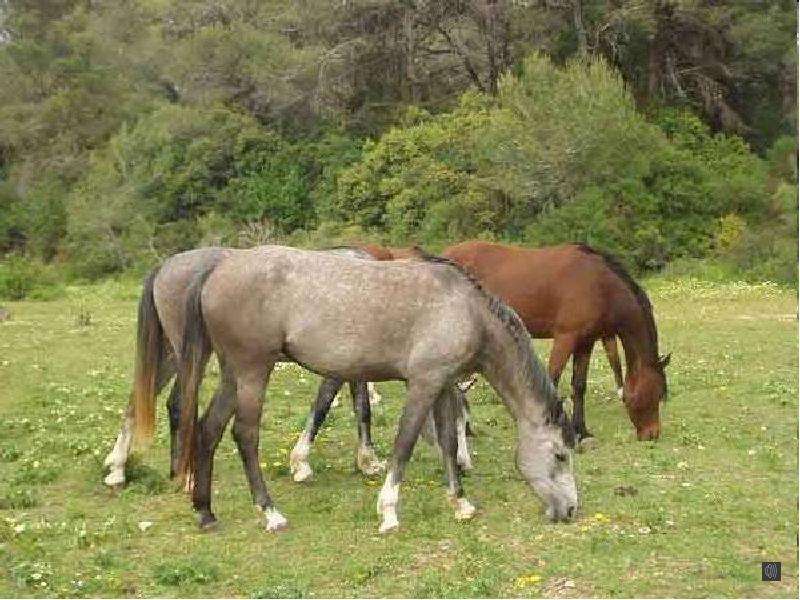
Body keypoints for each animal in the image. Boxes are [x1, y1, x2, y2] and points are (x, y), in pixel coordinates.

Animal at [153, 246, 576, 532]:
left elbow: (447, 443)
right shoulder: (422, 385)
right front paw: (388, 512)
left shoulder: (440, 385)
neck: (467, 310)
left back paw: (206, 512)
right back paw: (270, 512)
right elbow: (404, 444)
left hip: (232, 374)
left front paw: (460, 503)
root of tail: (217, 268)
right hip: (253, 371)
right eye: (560, 455)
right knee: (245, 435)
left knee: (209, 429)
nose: (571, 510)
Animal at [444, 241, 668, 442]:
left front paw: (581, 431)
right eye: (656, 393)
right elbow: (552, 379)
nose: (652, 434)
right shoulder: (565, 338)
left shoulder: (585, 343)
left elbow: (579, 385)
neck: (600, 285)